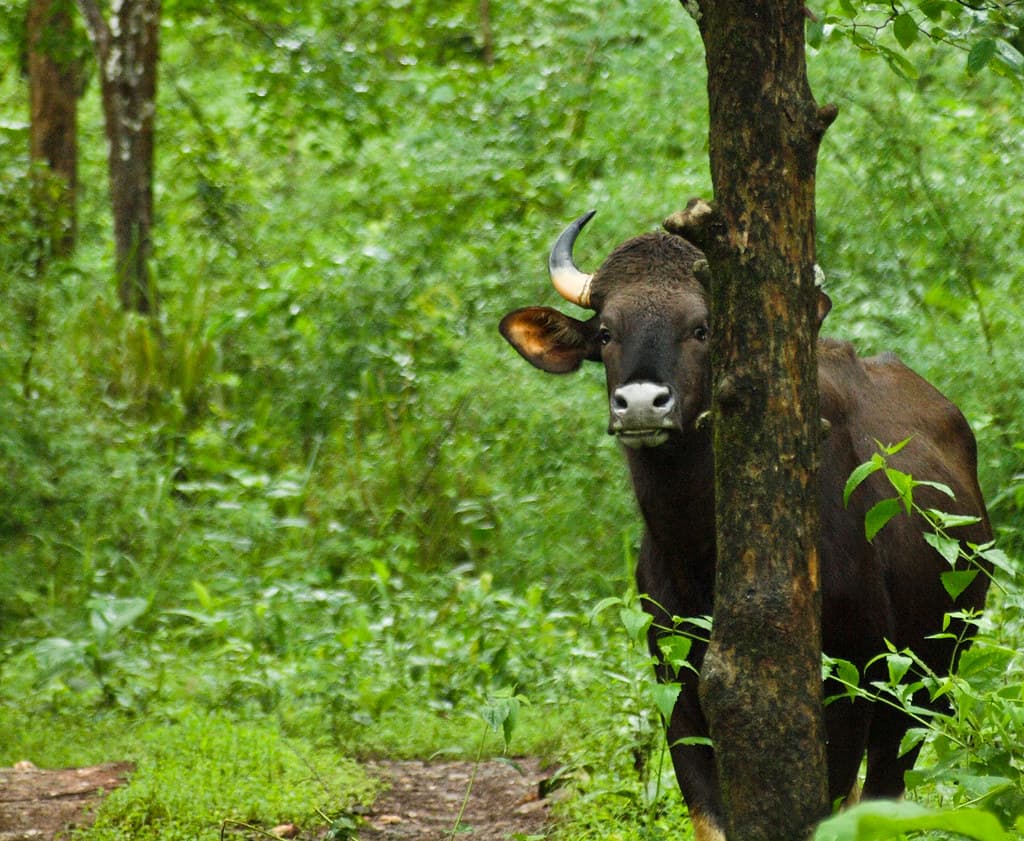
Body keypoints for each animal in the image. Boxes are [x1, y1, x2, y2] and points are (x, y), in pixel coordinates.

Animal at [499, 212, 987, 839]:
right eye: (606, 332)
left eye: (702, 328)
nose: (641, 404)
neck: (702, 556)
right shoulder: (678, 688)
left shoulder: (850, 684)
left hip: (927, 681)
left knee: (885, 788)